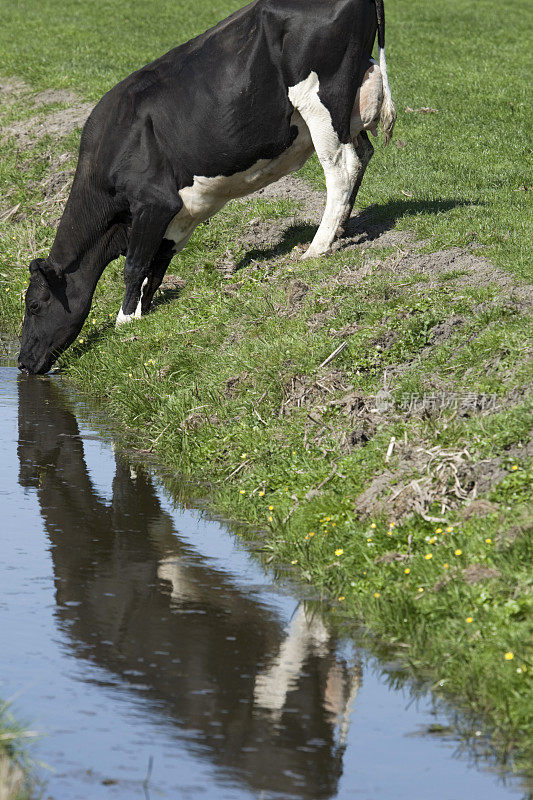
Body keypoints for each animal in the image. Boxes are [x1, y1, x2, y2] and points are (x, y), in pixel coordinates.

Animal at [17, 0, 394, 376]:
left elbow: (135, 266)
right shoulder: (177, 214)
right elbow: (156, 266)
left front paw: (125, 322)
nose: (21, 361)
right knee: (363, 154)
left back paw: (317, 247)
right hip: (352, 103)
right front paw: (144, 313)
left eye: (34, 305)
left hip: (321, 102)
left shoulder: (153, 202)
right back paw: (340, 229)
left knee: (341, 167)